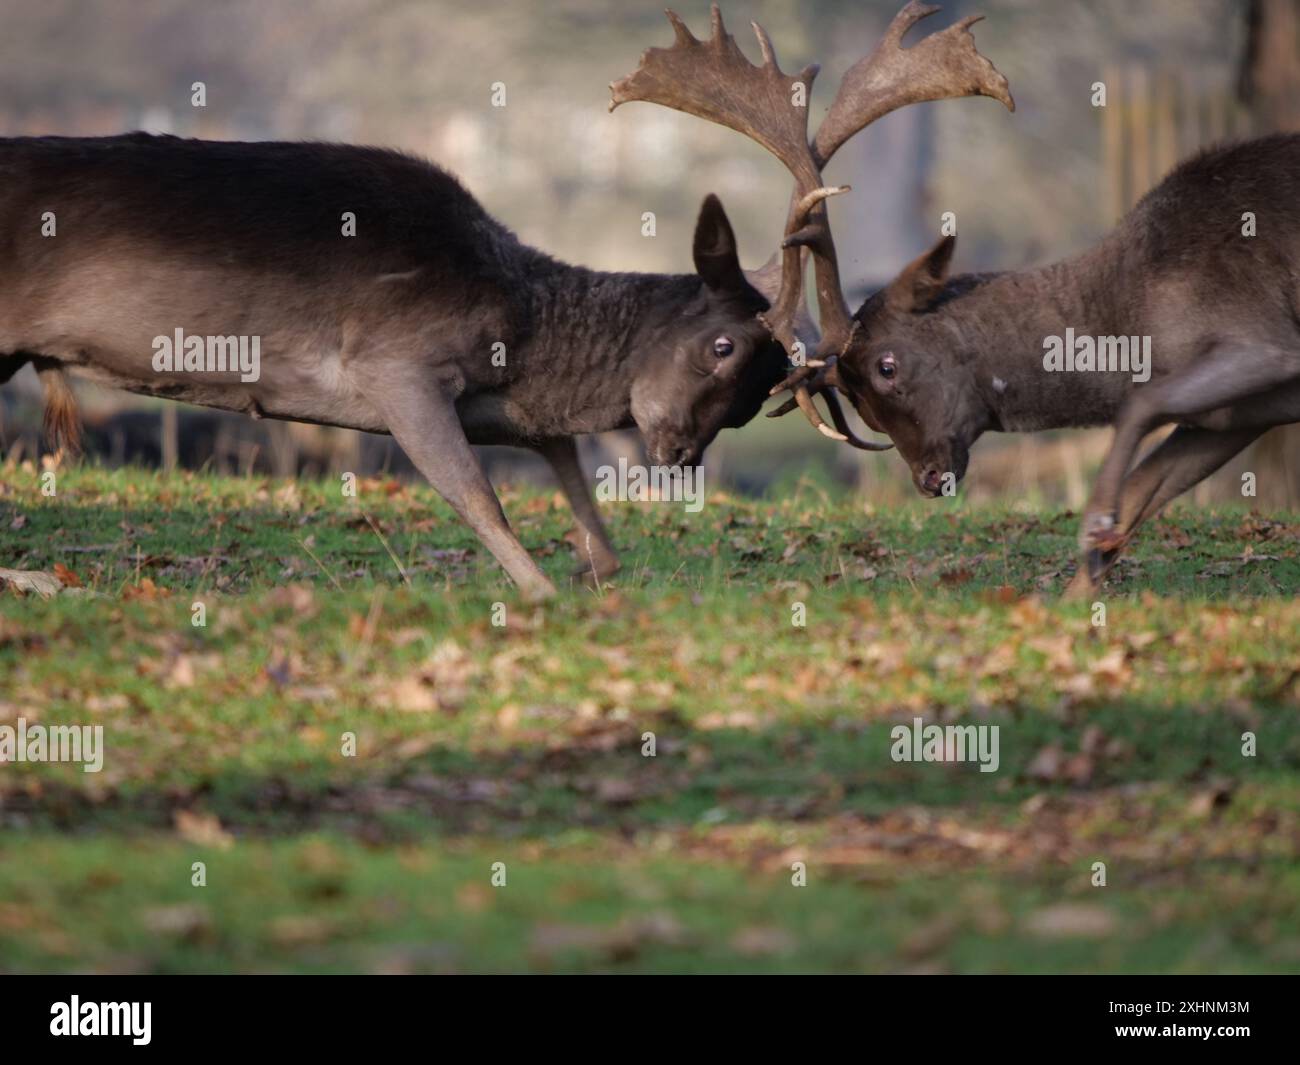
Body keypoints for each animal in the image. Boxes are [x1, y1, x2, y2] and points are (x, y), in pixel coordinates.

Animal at [0, 132, 807, 601]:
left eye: (759, 397)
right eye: (724, 347)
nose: (680, 457)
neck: (523, 320)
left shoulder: (500, 401)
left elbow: (568, 474)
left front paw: (589, 566)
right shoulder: (396, 363)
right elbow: (479, 498)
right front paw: (543, 591)